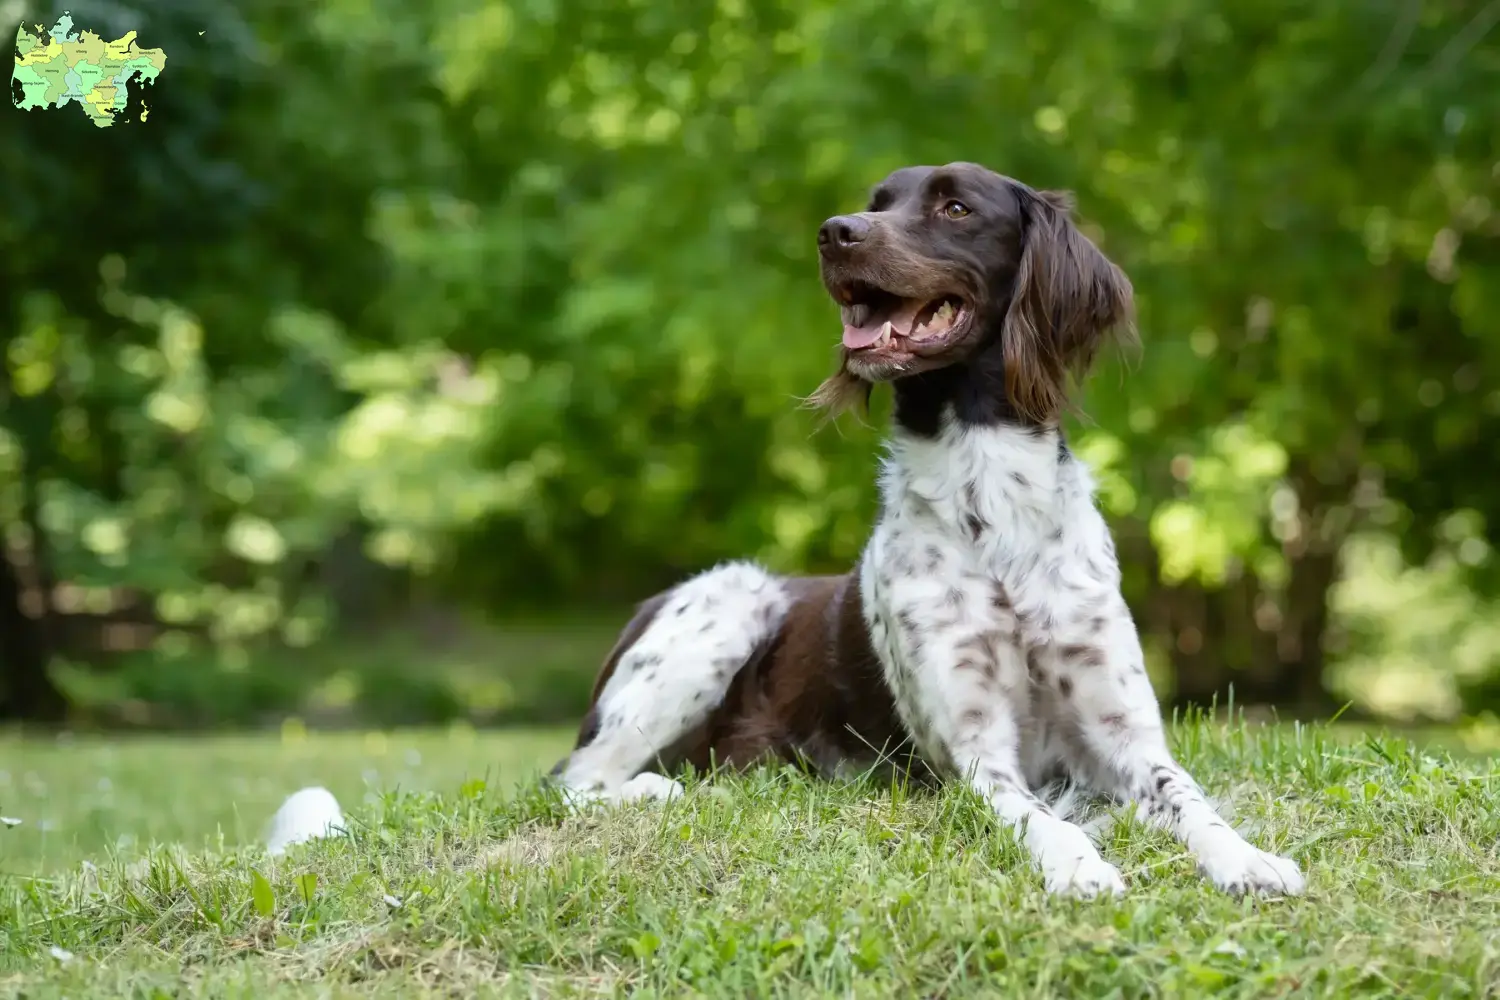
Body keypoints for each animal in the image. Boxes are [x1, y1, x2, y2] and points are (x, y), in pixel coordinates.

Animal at [549, 164, 1302, 899]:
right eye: (876, 202)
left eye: (956, 208)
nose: (835, 232)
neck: (991, 502)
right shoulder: (975, 755)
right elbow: (1040, 816)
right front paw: (1080, 867)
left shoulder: (1127, 737)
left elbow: (1190, 798)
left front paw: (1249, 859)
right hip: (730, 604)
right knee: (574, 779)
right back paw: (659, 790)